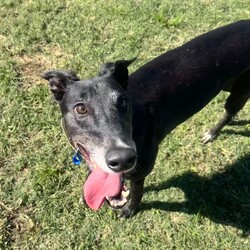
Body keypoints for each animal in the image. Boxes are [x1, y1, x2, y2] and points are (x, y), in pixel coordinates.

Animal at [42, 20, 249, 218]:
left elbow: (137, 192)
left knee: (230, 112)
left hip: (239, 91)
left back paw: (212, 133)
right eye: (81, 108)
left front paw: (130, 210)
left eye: (122, 102)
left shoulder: (141, 171)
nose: (123, 159)